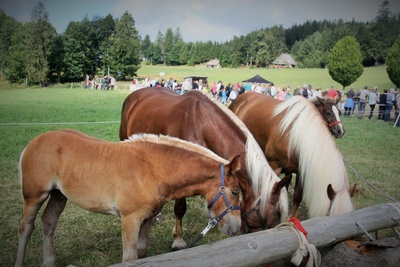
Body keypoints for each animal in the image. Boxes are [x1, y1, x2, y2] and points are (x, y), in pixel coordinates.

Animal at [14, 130, 241, 267]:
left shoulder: (148, 218)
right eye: (235, 191)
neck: (153, 168)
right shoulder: (130, 219)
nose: (236, 228)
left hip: (58, 196)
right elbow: (129, 258)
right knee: (26, 227)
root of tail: (33, 142)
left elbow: (141, 252)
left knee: (49, 223)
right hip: (34, 196)